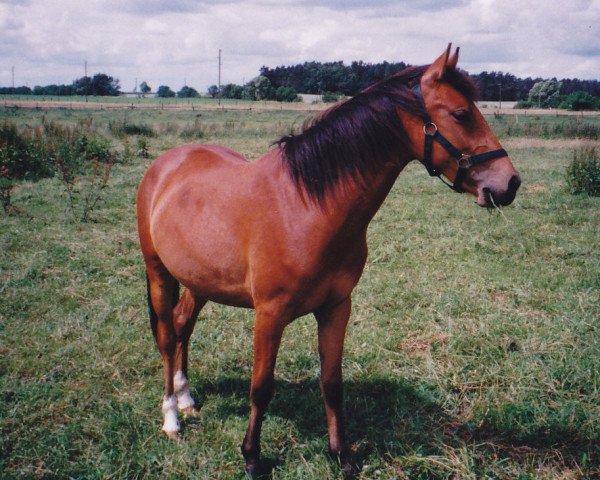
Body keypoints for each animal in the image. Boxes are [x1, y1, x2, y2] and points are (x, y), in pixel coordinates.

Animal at [136, 44, 520, 476]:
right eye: (460, 114)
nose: (509, 183)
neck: (308, 207)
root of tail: (165, 166)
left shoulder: (337, 307)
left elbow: (332, 383)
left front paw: (341, 454)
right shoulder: (269, 315)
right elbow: (260, 388)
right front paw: (252, 457)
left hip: (199, 281)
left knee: (183, 325)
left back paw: (186, 398)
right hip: (158, 272)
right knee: (168, 336)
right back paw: (172, 416)